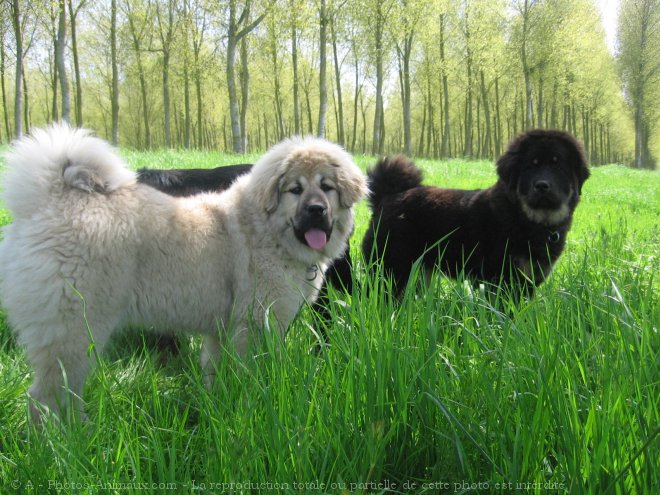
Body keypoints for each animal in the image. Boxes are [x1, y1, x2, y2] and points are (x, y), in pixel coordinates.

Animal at [0, 125, 366, 422]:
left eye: (327, 187)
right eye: (295, 190)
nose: (316, 210)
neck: (265, 229)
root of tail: (48, 202)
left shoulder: (222, 330)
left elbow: (218, 372)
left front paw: (221, 406)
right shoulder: (255, 325)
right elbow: (253, 373)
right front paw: (256, 407)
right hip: (74, 333)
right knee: (46, 398)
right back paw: (63, 442)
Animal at [364, 130, 592, 296]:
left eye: (558, 166)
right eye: (530, 167)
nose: (542, 185)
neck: (527, 219)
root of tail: (387, 196)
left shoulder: (527, 281)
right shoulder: (499, 280)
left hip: (418, 272)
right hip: (390, 269)